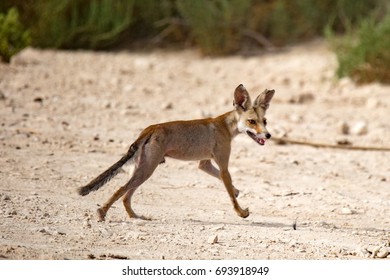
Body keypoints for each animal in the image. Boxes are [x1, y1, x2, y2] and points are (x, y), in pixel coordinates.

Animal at [78, 83, 274, 221]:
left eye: (264, 121)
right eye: (252, 121)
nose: (268, 135)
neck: (226, 126)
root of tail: (151, 128)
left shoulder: (204, 164)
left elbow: (224, 182)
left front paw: (236, 191)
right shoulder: (223, 165)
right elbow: (230, 193)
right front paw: (241, 212)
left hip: (142, 169)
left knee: (126, 196)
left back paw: (135, 217)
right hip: (147, 170)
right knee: (121, 190)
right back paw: (102, 213)